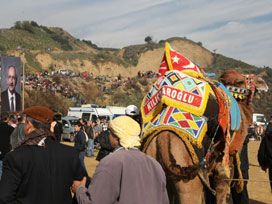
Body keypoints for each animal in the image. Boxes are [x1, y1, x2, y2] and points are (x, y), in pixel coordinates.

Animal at [140, 42, 268, 203]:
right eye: (239, 81)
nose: (262, 83)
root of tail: (163, 140)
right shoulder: (224, 163)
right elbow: (221, 191)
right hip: (188, 179)